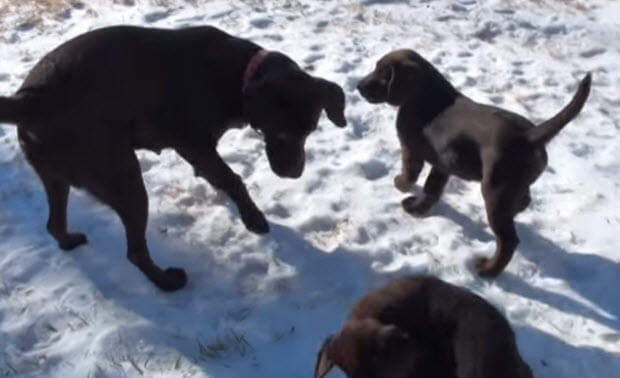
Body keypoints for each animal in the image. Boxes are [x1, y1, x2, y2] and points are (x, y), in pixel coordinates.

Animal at [0, 25, 346, 292]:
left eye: (310, 131)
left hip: (57, 177)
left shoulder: (201, 151)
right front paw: (253, 218)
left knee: (54, 225)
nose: (294, 173)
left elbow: (219, 178)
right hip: (124, 178)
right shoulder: (194, 145)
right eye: (282, 133)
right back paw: (167, 282)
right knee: (135, 253)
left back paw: (69, 241)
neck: (238, 72)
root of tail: (30, 100)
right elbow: (233, 180)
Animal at [356, 48, 588, 276]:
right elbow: (432, 190)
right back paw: (517, 209)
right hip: (513, 185)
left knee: (509, 241)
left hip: (495, 191)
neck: (425, 94)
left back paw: (489, 270)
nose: (358, 86)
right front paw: (418, 208)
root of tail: (530, 136)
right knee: (524, 200)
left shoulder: (411, 150)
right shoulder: (443, 163)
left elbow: (409, 175)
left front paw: (400, 185)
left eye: (383, 74)